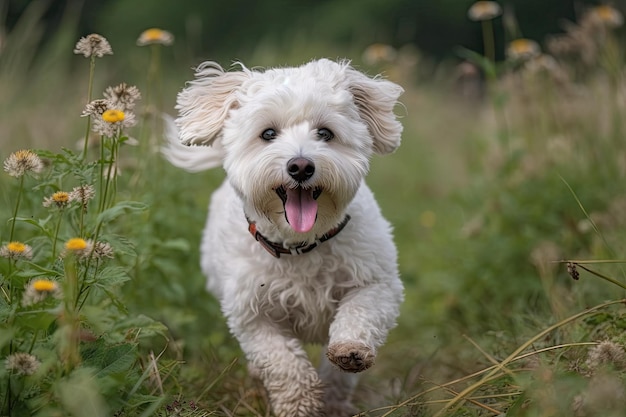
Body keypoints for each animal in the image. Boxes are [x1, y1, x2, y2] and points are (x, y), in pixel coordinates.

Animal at [163, 59, 402, 416]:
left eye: (325, 133)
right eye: (268, 134)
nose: (300, 166)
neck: (302, 245)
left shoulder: (377, 284)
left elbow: (358, 317)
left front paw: (347, 357)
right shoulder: (251, 314)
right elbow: (282, 362)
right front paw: (299, 402)